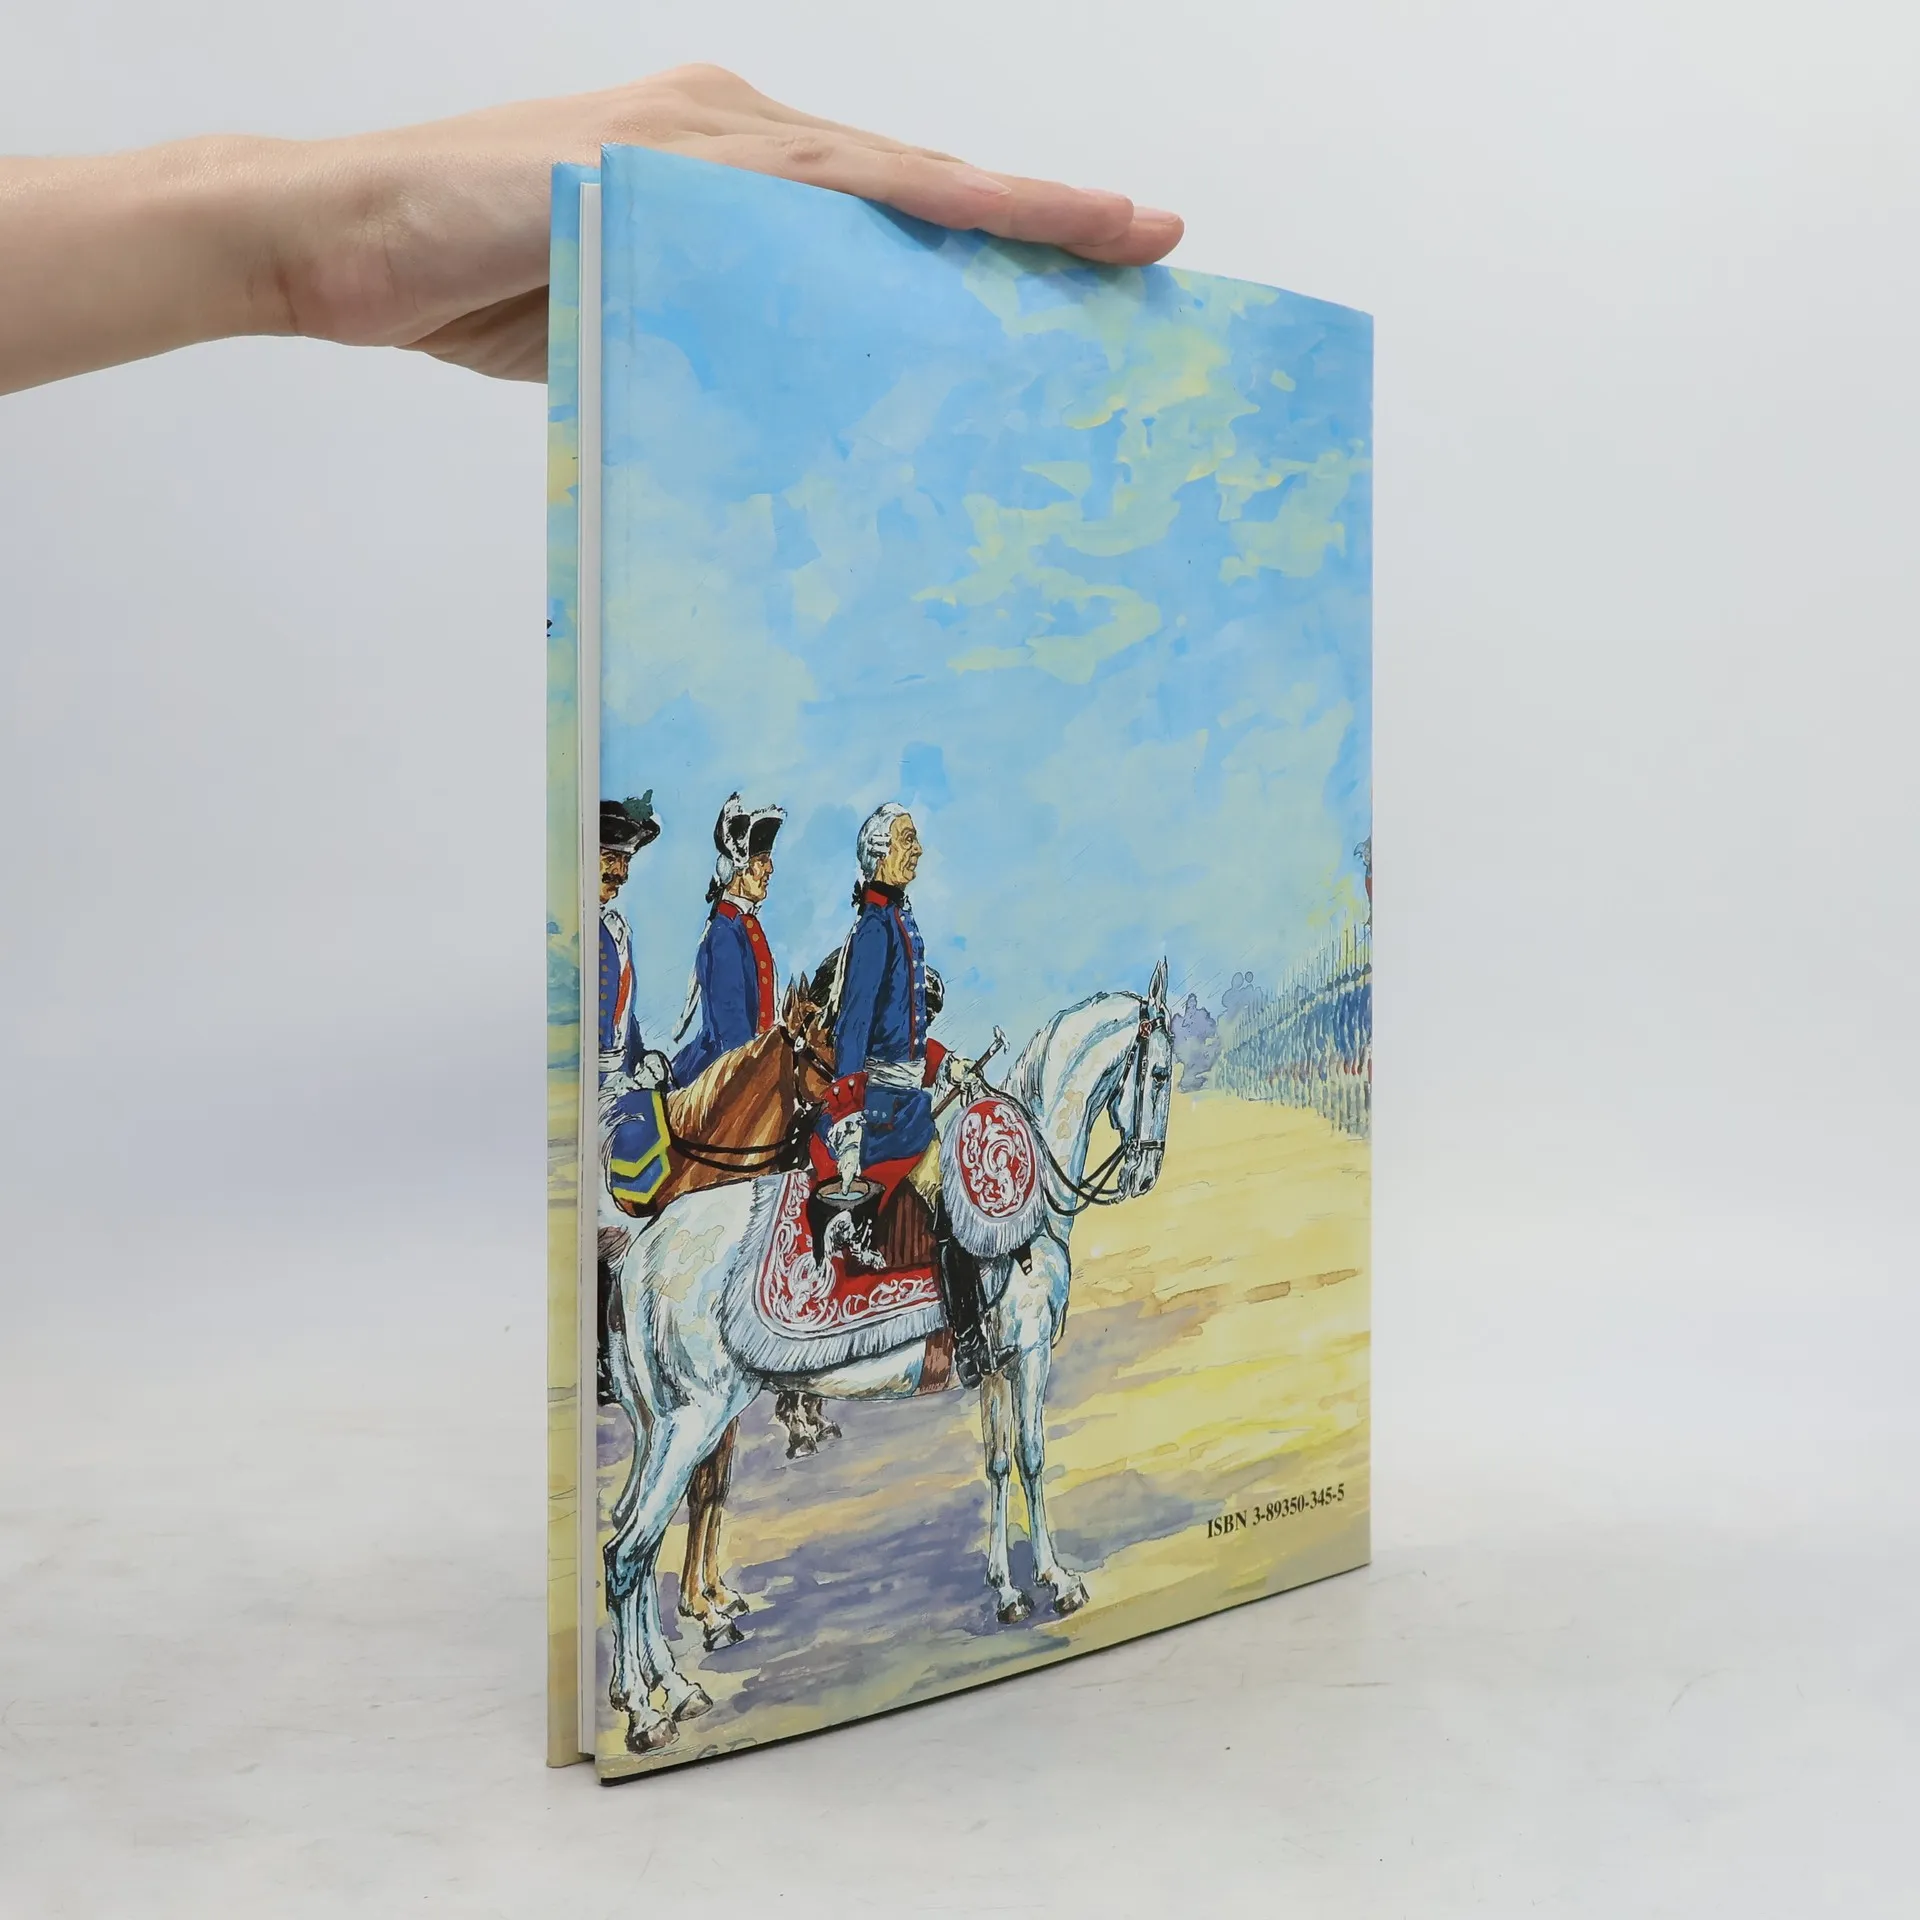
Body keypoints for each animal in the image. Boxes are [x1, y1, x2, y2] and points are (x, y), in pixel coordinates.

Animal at [601, 962, 1176, 1754]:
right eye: (1159, 1071)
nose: (1146, 1175)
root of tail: (639, 1255)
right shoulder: (1029, 1353)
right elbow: (1032, 1459)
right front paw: (1057, 1581)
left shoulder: (996, 1364)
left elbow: (996, 1463)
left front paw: (1005, 1590)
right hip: (695, 1421)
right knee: (630, 1552)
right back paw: (645, 1711)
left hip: (661, 1427)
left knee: (634, 1539)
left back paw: (673, 1688)